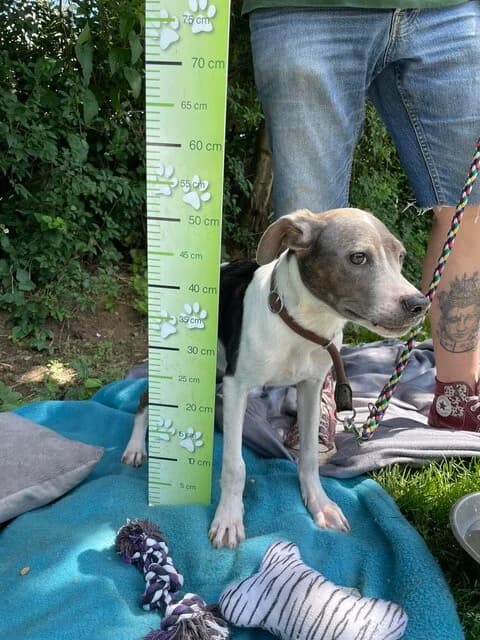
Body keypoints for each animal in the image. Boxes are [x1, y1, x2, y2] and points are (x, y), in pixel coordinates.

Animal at [123, 208, 428, 549]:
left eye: (400, 257)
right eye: (358, 258)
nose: (419, 304)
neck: (301, 325)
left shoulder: (311, 387)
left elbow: (308, 457)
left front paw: (319, 503)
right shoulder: (237, 386)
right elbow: (235, 466)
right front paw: (228, 518)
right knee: (144, 399)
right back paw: (135, 448)